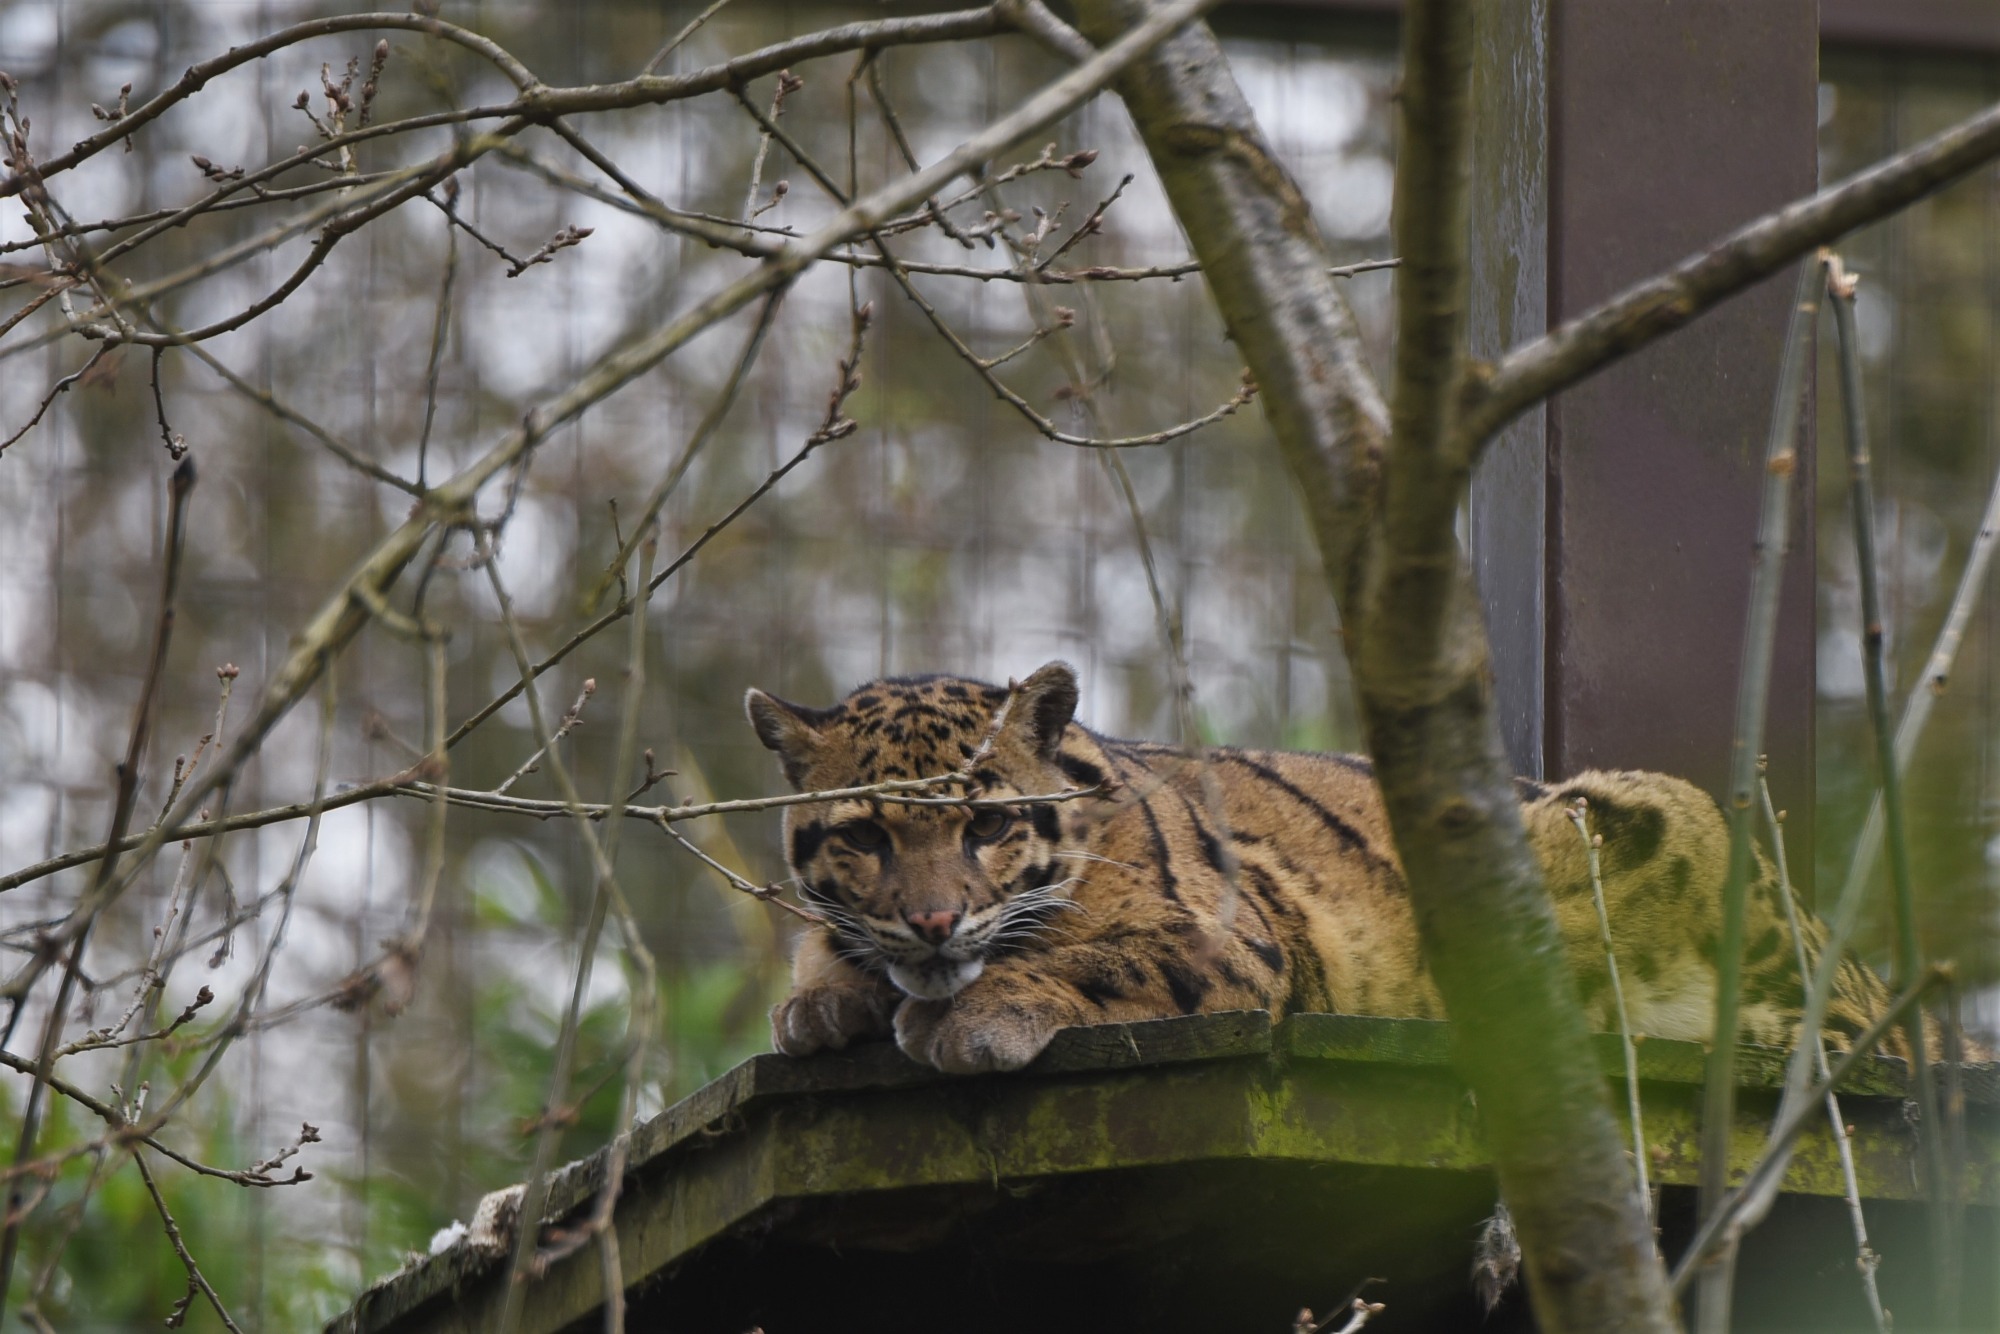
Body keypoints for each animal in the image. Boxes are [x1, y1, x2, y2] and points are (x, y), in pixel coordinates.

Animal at [745, 660, 1896, 1075]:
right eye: (867, 838)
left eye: (984, 825)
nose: (935, 923)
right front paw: (827, 997)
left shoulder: (1238, 943)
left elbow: (1101, 957)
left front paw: (970, 1011)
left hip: (1645, 818)